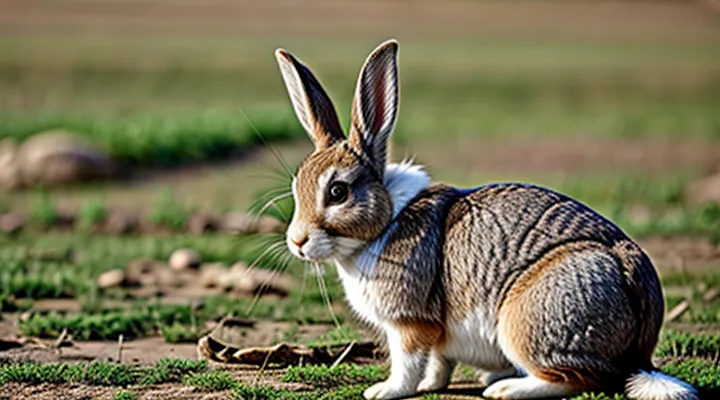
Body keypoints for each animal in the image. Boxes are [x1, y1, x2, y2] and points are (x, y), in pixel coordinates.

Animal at [275, 39, 698, 400]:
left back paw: (505, 388)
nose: (297, 241)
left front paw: (384, 391)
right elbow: (439, 363)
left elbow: (408, 363)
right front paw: (430, 386)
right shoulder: (438, 337)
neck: (385, 218)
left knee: (582, 378)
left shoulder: (410, 322)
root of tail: (640, 354)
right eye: (297, 186)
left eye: (337, 192)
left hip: (528, 321)